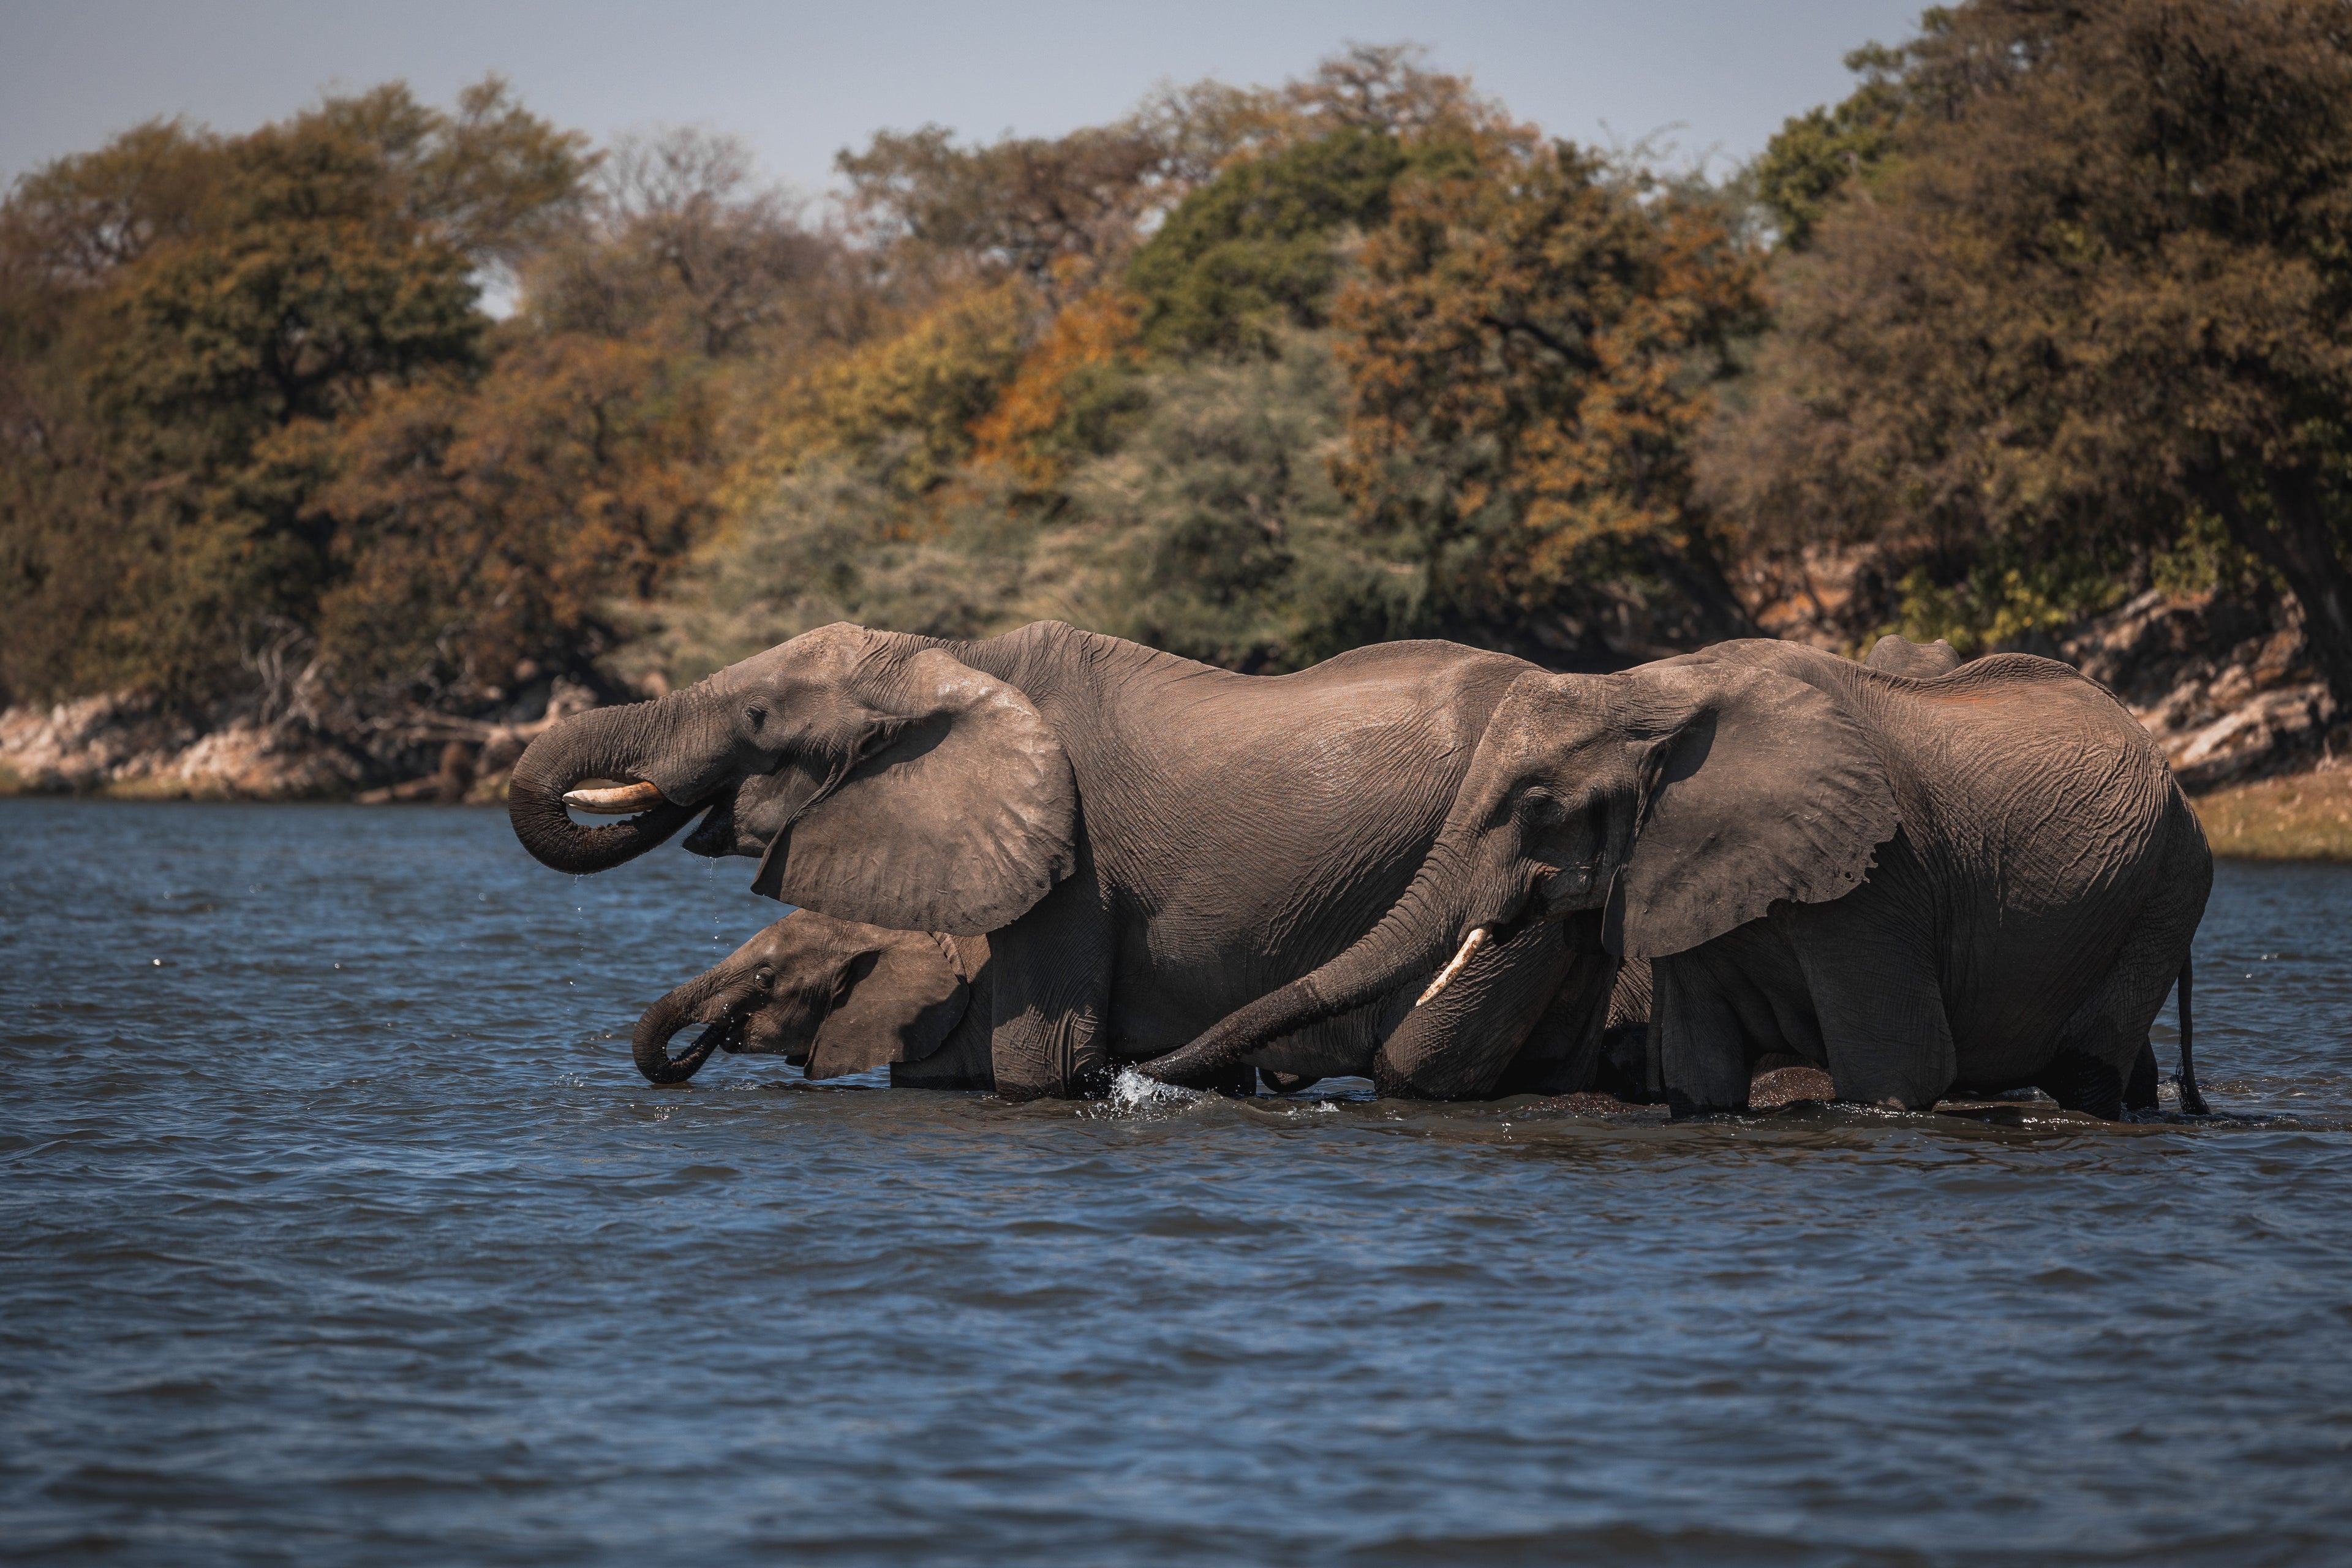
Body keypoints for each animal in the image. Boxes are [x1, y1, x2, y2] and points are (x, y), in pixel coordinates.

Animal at [1138, 637, 2213, 1119]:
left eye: (1537, 805)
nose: (1130, 1080)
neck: (1651, 689)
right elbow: (1698, 1077)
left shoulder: (1881, 878)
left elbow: (1899, 1072)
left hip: (2165, 886)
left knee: (2087, 1068)